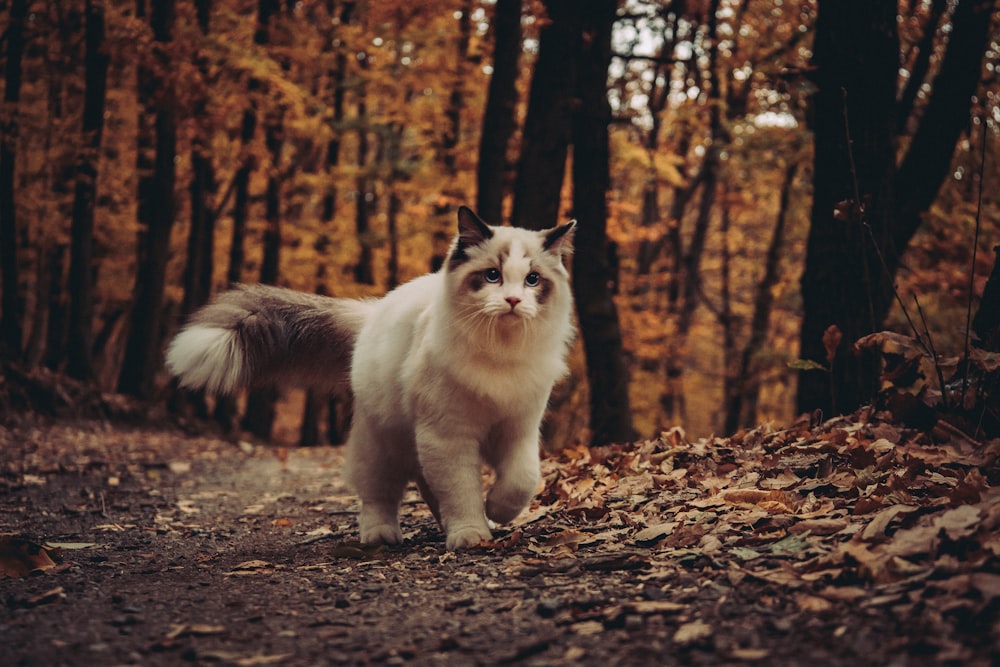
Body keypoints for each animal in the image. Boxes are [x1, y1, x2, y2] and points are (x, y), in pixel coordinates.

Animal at [166, 207, 580, 548]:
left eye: (532, 280)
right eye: (492, 276)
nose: (512, 301)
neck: (500, 354)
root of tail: (372, 312)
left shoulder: (518, 428)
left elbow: (521, 481)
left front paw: (496, 512)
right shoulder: (449, 436)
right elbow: (461, 492)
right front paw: (471, 534)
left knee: (427, 484)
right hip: (383, 444)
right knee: (379, 495)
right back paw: (382, 536)